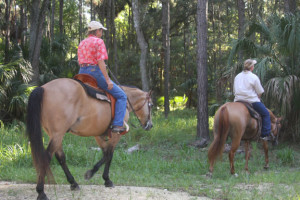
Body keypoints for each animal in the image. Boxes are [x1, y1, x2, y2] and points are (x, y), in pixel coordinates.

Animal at [26, 77, 154, 200]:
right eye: (151, 105)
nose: (150, 125)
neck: (126, 100)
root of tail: (43, 88)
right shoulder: (116, 134)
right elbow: (109, 155)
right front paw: (99, 177)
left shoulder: (97, 134)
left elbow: (105, 153)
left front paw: (105, 178)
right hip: (58, 134)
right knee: (46, 157)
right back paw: (41, 192)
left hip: (55, 134)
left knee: (60, 157)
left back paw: (73, 183)